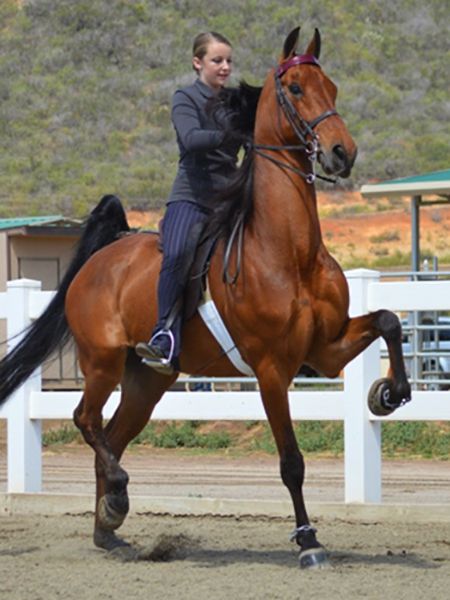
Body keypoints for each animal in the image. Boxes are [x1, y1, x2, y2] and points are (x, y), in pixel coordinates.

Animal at [0, 28, 412, 568]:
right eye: (296, 88)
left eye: (332, 87)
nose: (343, 152)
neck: (288, 250)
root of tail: (106, 254)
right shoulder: (271, 369)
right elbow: (292, 462)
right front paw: (308, 541)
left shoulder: (324, 350)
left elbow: (388, 320)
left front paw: (389, 393)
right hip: (102, 362)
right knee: (85, 421)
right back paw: (117, 499)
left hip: (147, 381)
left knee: (113, 437)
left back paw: (109, 527)